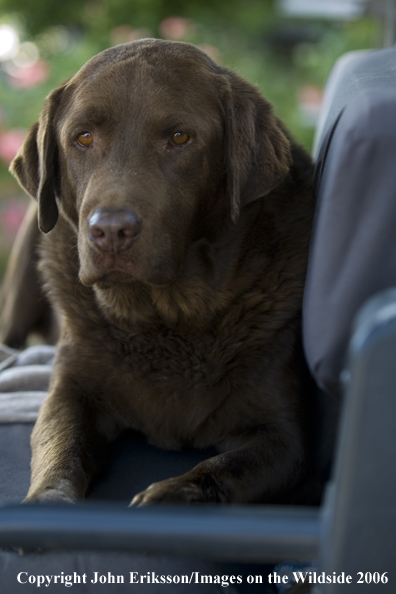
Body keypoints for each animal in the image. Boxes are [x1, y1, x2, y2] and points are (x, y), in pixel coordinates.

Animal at [0, 39, 316, 502]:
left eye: (179, 137)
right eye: (83, 137)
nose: (110, 230)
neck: (166, 317)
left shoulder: (287, 437)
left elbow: (223, 470)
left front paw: (166, 494)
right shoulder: (70, 390)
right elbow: (60, 446)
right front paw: (48, 500)